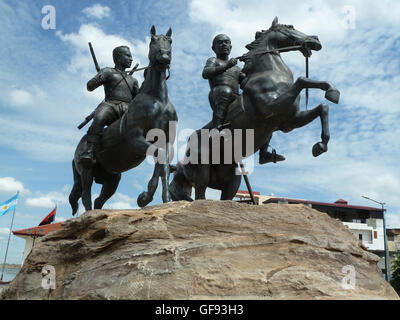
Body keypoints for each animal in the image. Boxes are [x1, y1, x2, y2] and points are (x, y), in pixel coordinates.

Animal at [69, 26, 177, 214]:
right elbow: (159, 157)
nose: (164, 57)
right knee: (86, 196)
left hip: (112, 179)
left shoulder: (166, 140)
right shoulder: (135, 138)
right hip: (86, 171)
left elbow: (162, 165)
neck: (157, 99)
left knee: (99, 200)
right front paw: (146, 197)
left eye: (169, 41)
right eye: (153, 41)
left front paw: (157, 198)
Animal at [169, 16, 340, 200]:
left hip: (231, 179)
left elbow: (323, 107)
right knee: (200, 196)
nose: (315, 40)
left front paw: (321, 144)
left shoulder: (288, 122)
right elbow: (302, 80)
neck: (270, 74)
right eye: (290, 26)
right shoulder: (270, 108)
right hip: (202, 173)